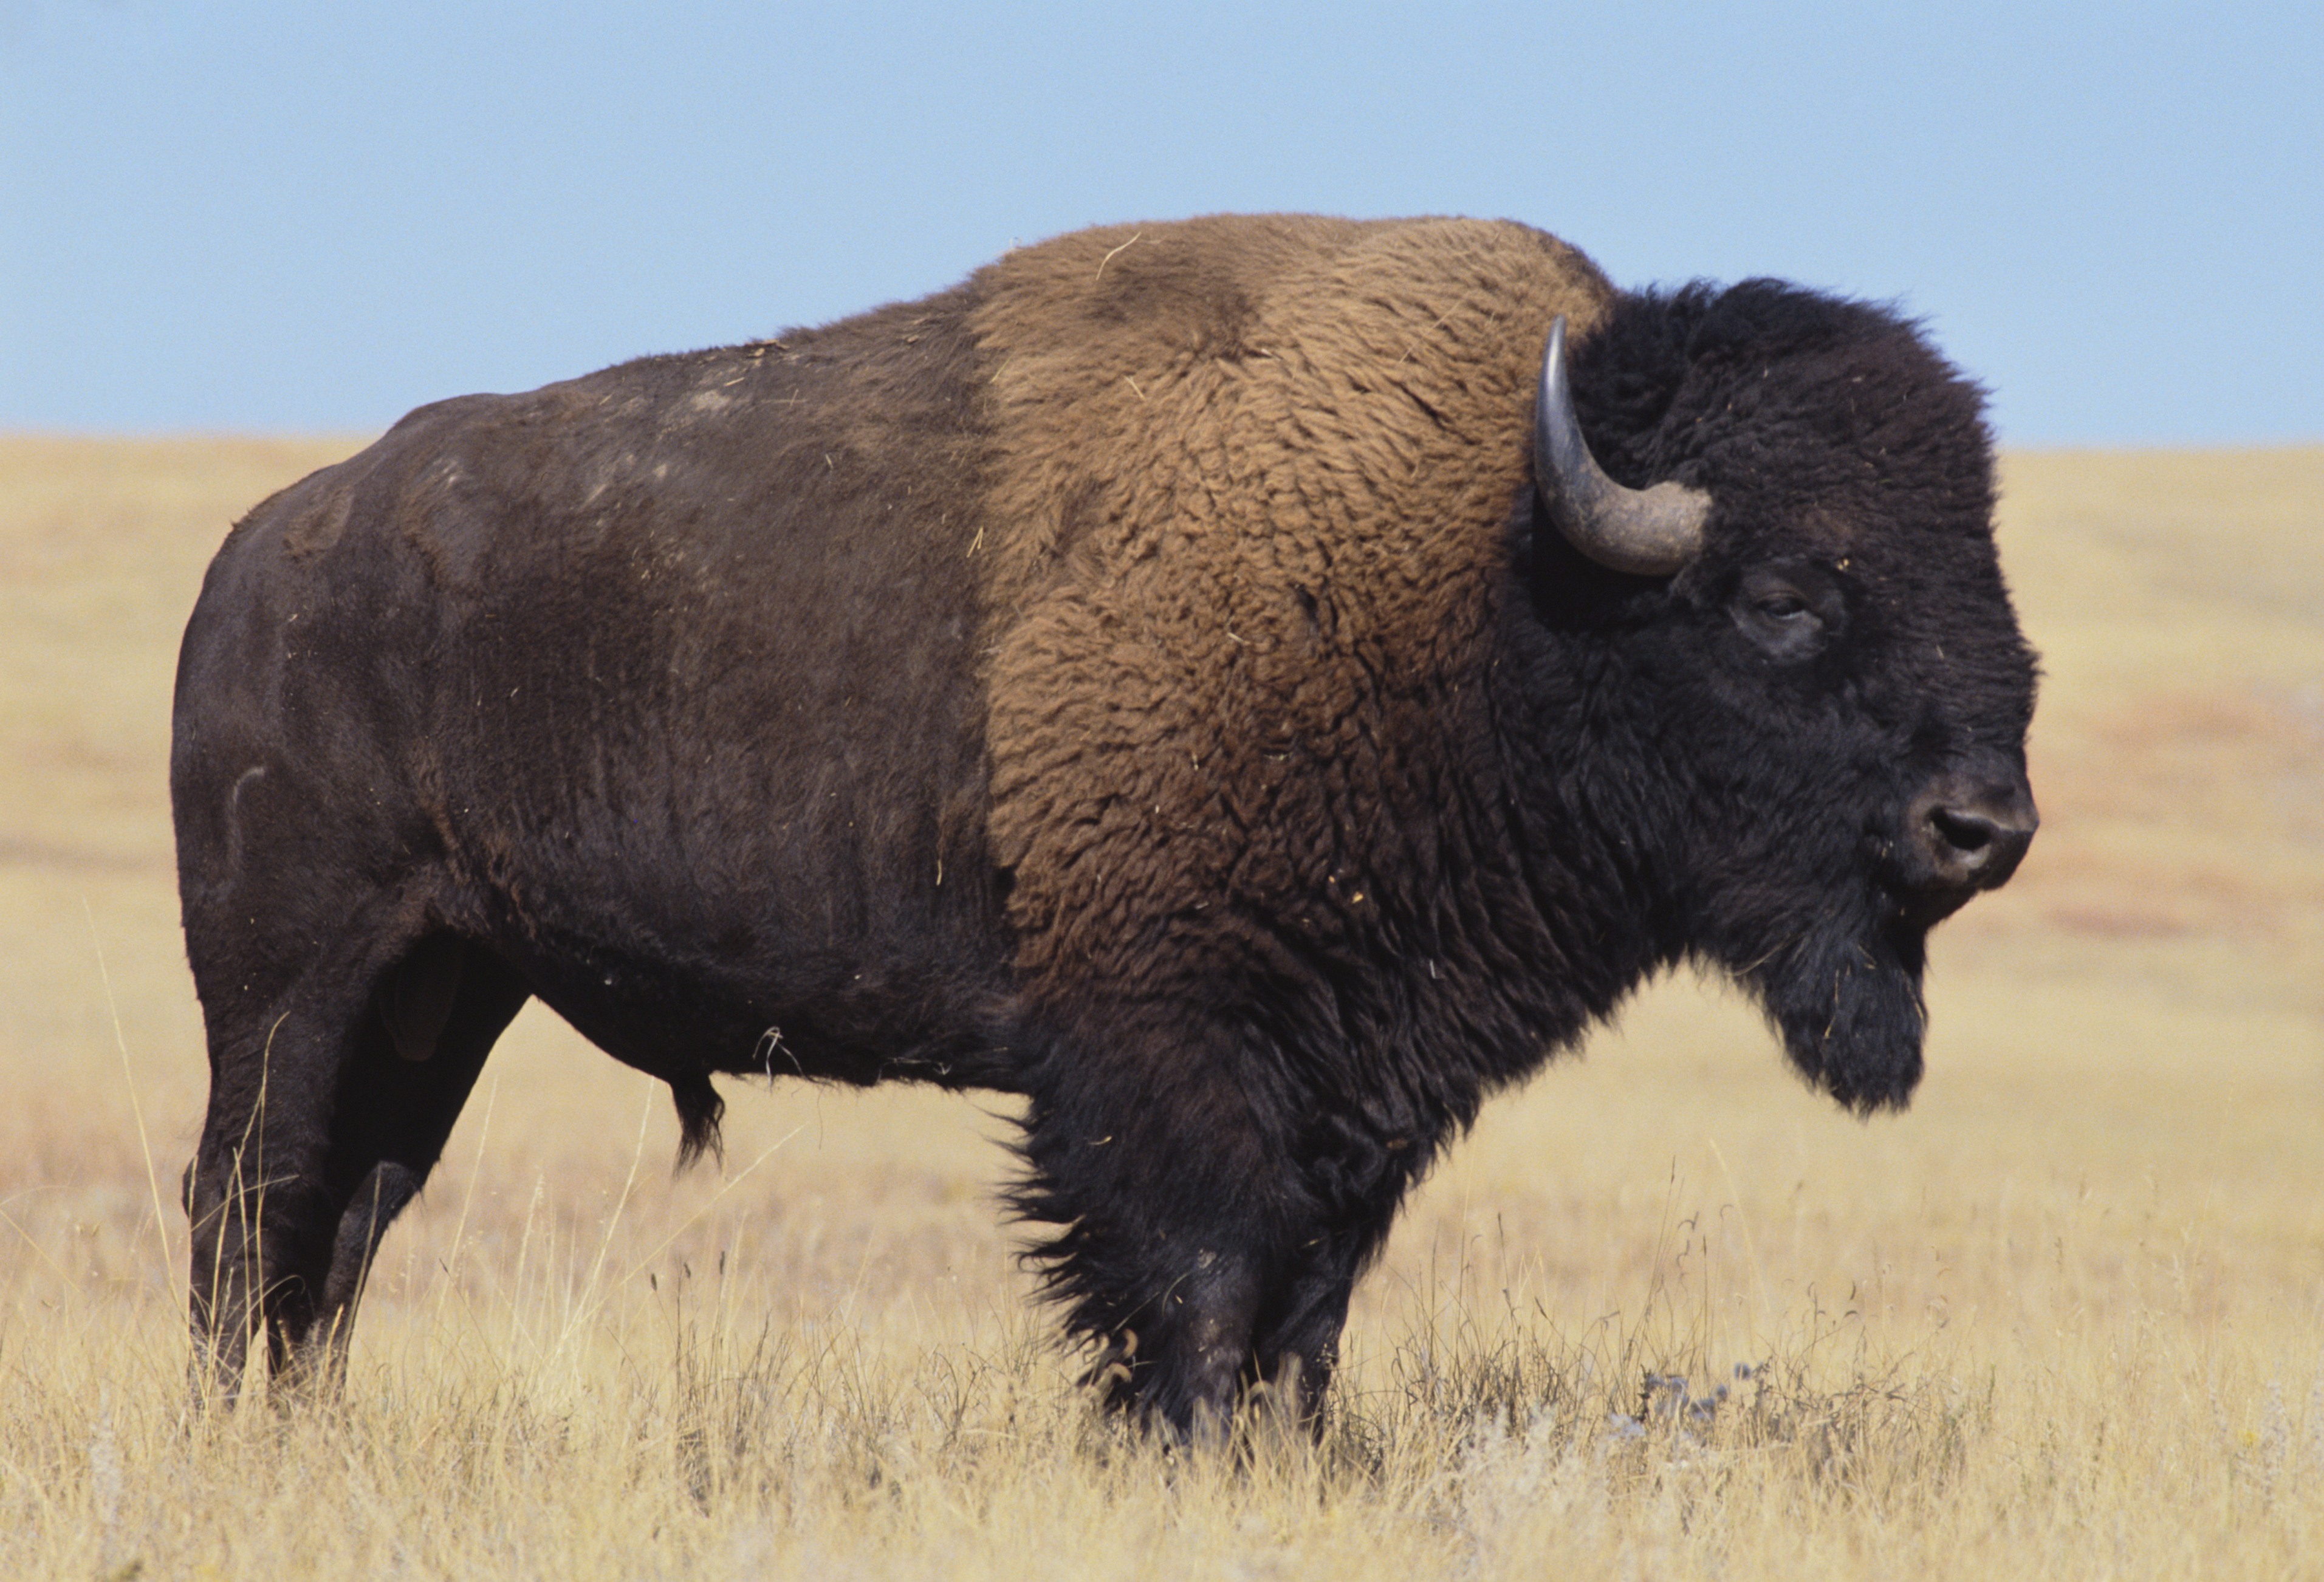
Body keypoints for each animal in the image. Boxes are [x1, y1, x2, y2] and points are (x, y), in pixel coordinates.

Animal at [176, 216, 2035, 1440]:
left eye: (1983, 559)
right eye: (1783, 594)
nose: (1982, 826)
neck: (1483, 571)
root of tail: (262, 549)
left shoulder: (1363, 1087)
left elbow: (1309, 1305)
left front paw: (1285, 1457)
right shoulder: (1163, 1055)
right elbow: (1201, 1283)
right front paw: (1191, 1453)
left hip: (451, 989)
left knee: (355, 1212)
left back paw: (303, 1431)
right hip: (295, 979)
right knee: (253, 1192)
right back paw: (227, 1430)